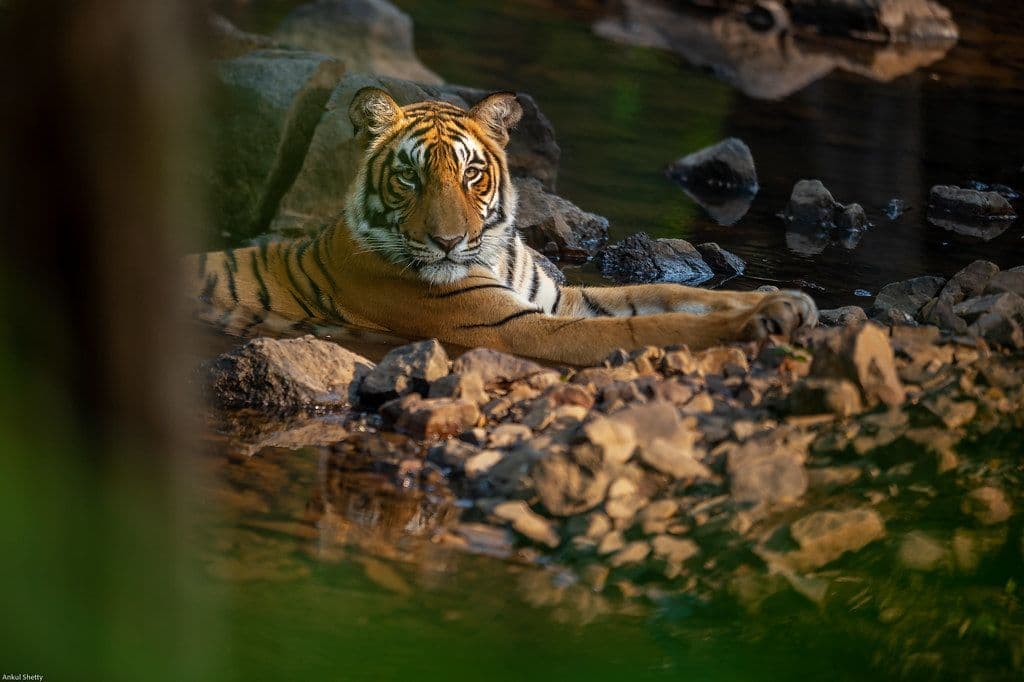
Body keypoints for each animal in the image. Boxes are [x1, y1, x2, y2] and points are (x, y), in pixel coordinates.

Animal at [185, 88, 818, 366]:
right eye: (409, 177)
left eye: (471, 174)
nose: (447, 242)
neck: (494, 252)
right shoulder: (522, 329)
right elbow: (654, 327)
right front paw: (755, 323)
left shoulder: (561, 299)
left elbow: (666, 294)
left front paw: (782, 301)